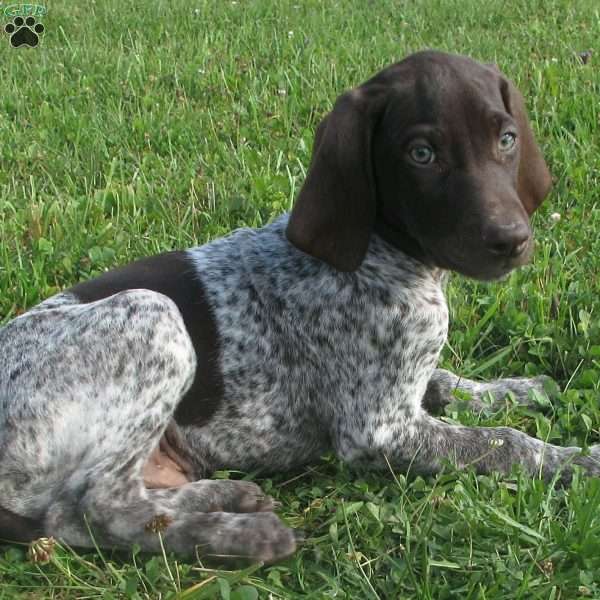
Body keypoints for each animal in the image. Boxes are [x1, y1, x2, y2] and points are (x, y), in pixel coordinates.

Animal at [2, 50, 596, 564]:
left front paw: (520, 389)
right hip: (152, 314)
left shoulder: (405, 382)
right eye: (422, 154)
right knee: (95, 510)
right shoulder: (379, 429)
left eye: (507, 139)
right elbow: (505, 443)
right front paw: (578, 460)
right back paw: (241, 537)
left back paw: (226, 499)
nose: (511, 240)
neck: (380, 251)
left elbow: (452, 384)